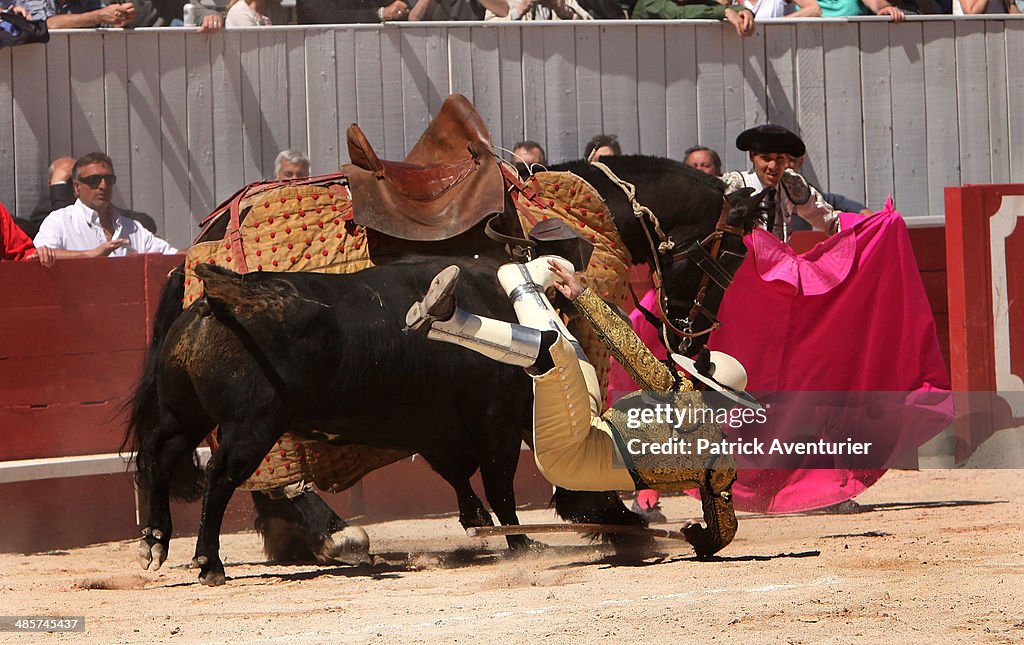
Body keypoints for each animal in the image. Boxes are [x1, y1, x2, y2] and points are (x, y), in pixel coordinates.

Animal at [123, 156, 765, 585]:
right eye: (733, 256)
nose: (695, 344)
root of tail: (207, 282)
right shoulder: (509, 412)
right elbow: (515, 477)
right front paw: (583, 520)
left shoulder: (447, 421)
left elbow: (463, 472)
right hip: (256, 424)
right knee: (238, 476)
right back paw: (261, 550)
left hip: (189, 413)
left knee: (160, 455)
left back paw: (161, 543)